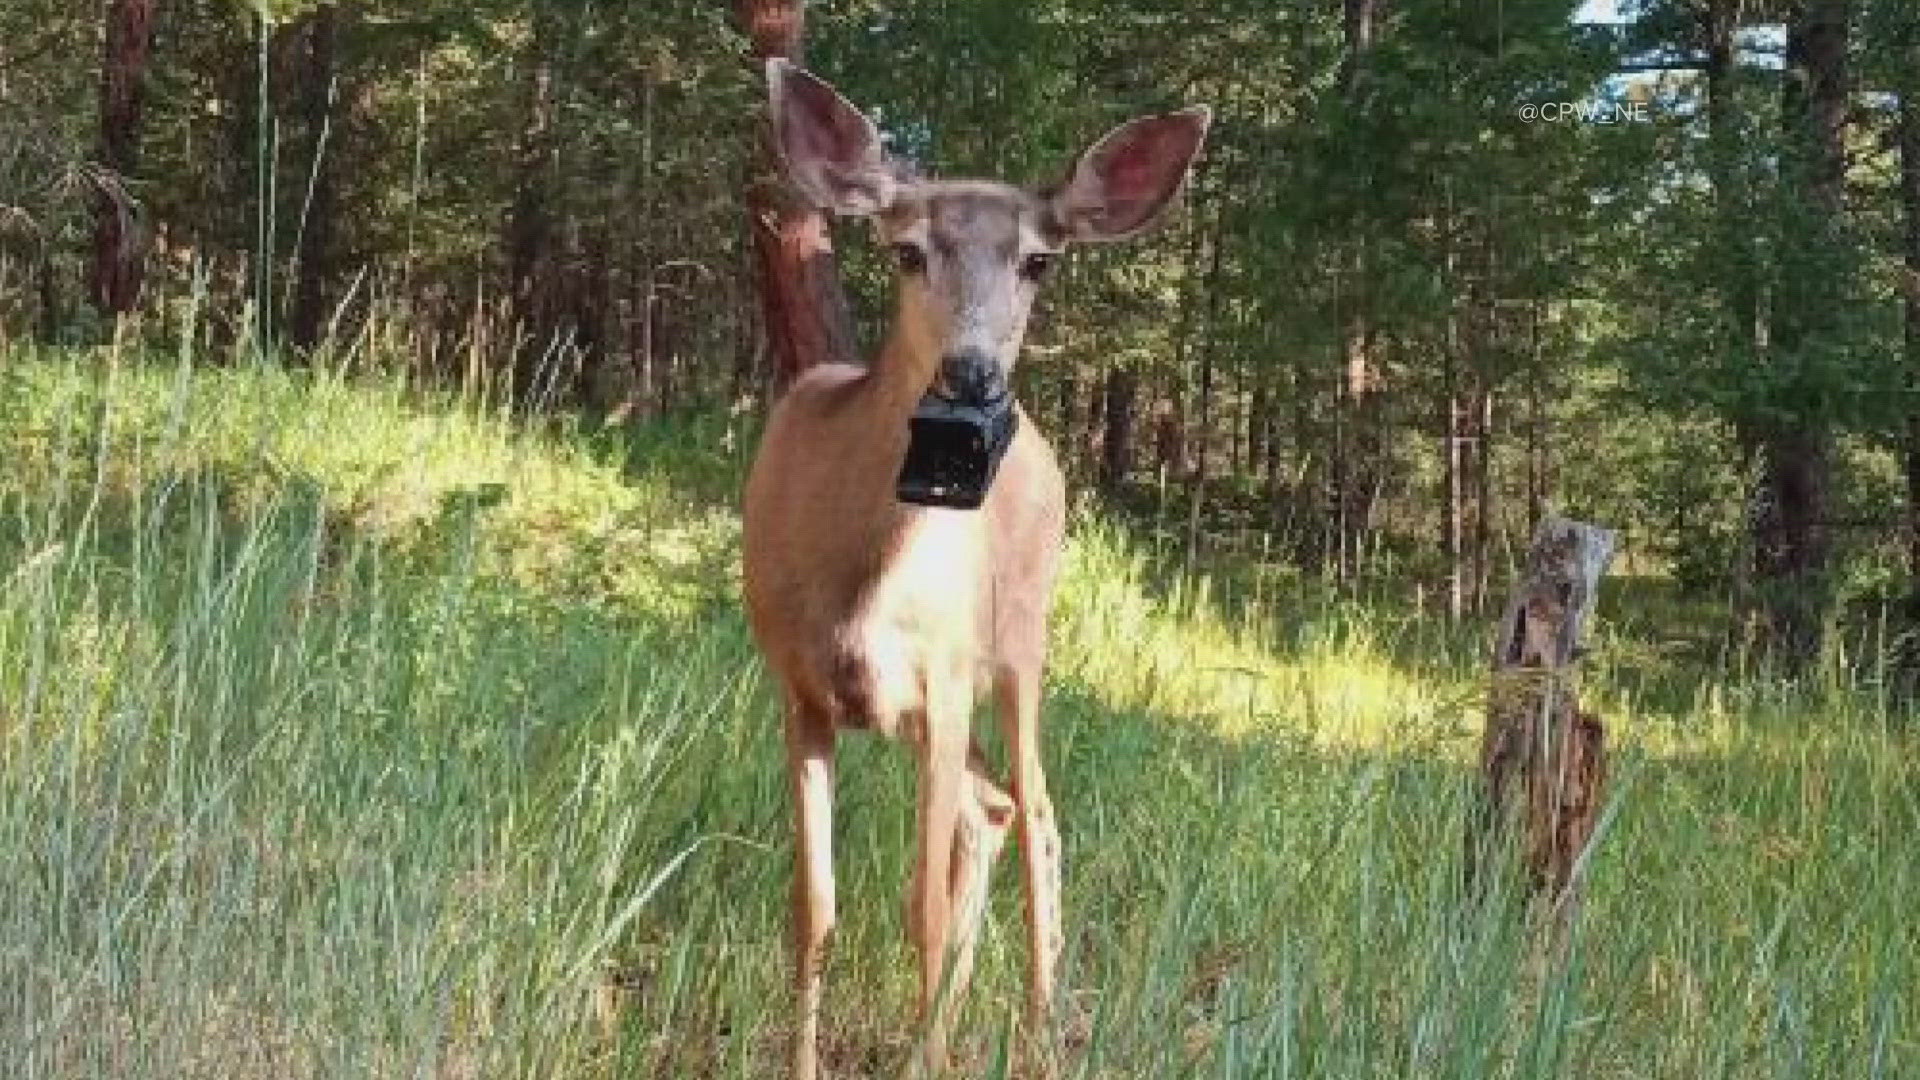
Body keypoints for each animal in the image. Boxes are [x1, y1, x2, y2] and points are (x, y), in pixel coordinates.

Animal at [741, 61, 1205, 1076]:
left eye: (1039, 261)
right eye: (907, 251)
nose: (974, 376)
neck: (860, 579)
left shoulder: (947, 673)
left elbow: (918, 907)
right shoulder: (798, 689)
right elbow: (814, 910)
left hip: (1022, 646)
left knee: (1034, 817)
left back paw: (1034, 1034)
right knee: (994, 813)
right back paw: (949, 1032)